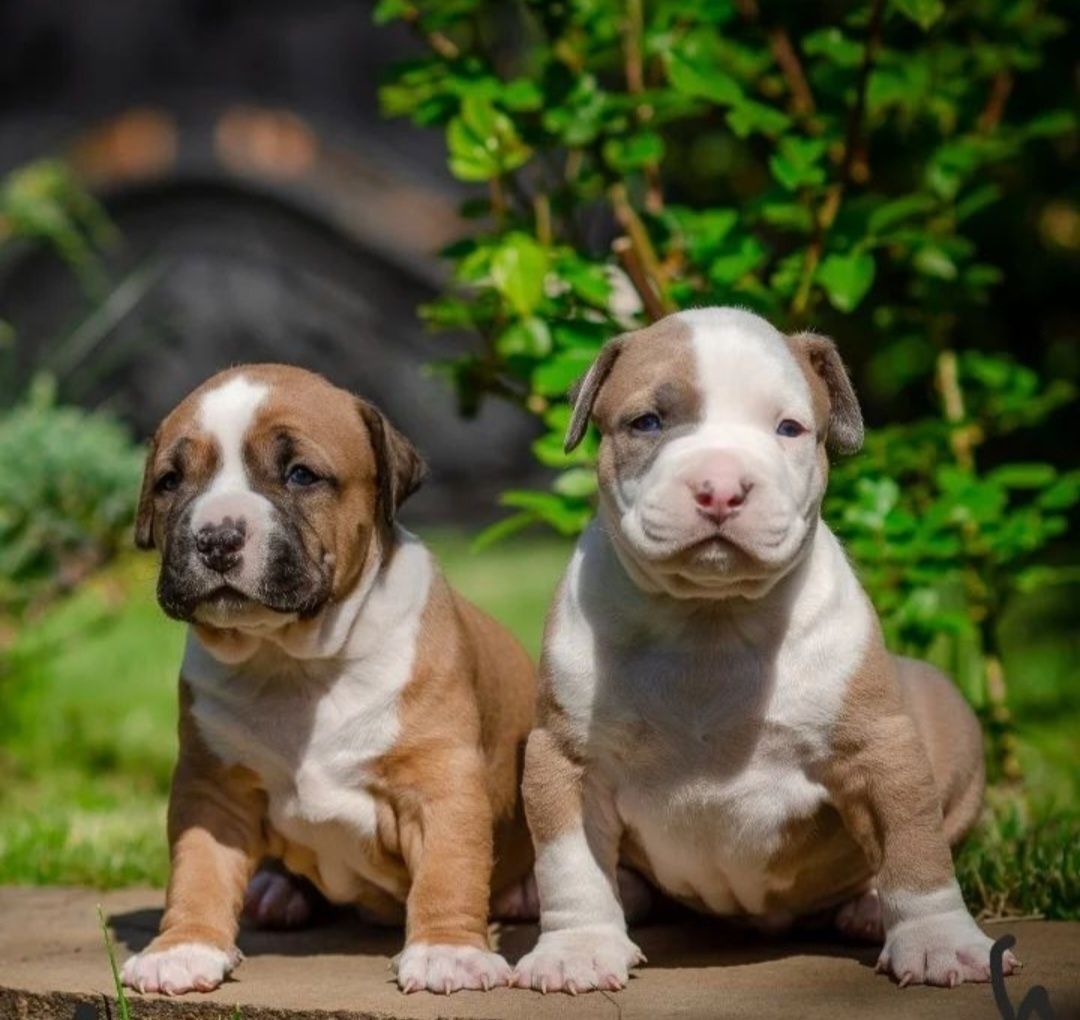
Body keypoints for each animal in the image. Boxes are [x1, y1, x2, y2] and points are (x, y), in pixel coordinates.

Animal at [122, 365, 535, 994]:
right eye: (170, 481)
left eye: (300, 475)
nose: (216, 537)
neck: (293, 663)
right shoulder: (210, 789)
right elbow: (197, 870)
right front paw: (184, 947)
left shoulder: (441, 781)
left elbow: (449, 866)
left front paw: (447, 950)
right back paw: (277, 890)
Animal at [511, 306, 1010, 994]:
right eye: (648, 423)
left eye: (789, 428)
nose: (721, 487)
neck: (710, 620)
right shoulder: (565, 757)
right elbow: (570, 863)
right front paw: (577, 949)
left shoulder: (881, 748)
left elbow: (915, 847)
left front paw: (940, 944)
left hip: (948, 707)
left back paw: (866, 909)